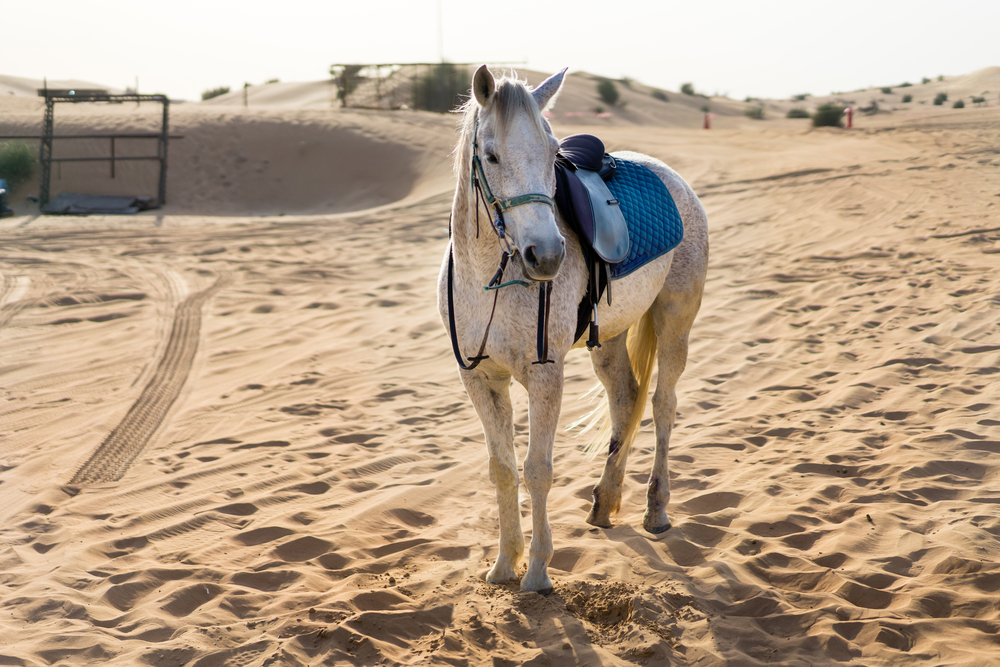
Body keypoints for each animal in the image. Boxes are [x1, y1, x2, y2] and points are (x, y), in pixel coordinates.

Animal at [438, 65, 712, 592]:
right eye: (491, 155)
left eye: (552, 152)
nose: (545, 256)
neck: (489, 279)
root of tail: (670, 175)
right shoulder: (479, 379)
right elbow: (502, 470)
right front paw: (504, 565)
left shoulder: (545, 376)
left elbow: (537, 470)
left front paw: (537, 572)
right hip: (609, 340)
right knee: (626, 398)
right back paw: (605, 501)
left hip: (675, 320)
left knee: (663, 404)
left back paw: (656, 509)